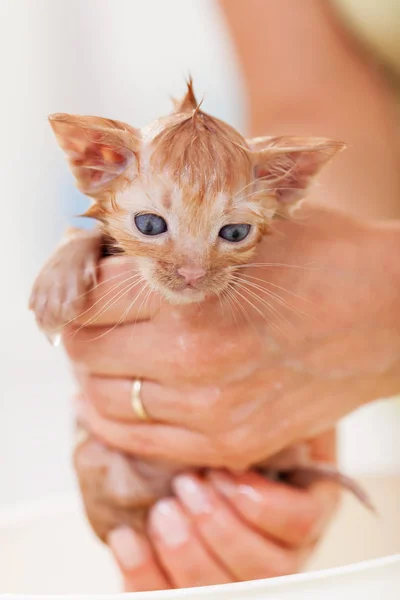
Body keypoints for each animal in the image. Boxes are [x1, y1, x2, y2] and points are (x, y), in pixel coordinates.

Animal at [28, 81, 376, 544]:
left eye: (234, 232)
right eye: (150, 225)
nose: (192, 274)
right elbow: (82, 236)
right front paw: (57, 281)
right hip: (94, 462)